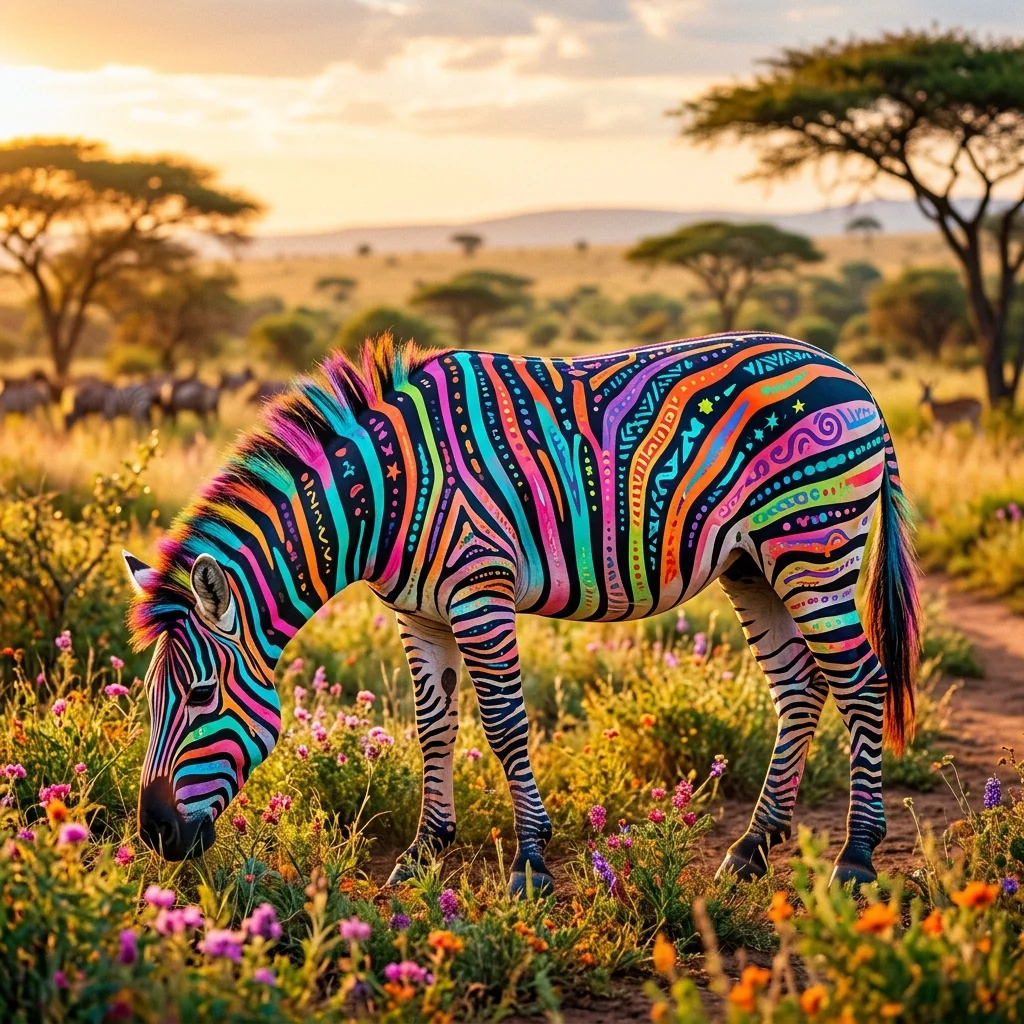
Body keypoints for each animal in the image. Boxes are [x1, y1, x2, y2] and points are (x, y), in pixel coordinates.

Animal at [124, 332, 919, 894]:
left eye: (200, 696)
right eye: (150, 698)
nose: (154, 835)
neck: (383, 496)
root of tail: (852, 377)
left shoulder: (481, 591)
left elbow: (505, 728)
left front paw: (532, 863)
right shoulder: (419, 614)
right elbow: (434, 729)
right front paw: (424, 853)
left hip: (813, 540)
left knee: (861, 683)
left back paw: (855, 857)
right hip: (754, 565)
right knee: (799, 688)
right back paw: (753, 848)